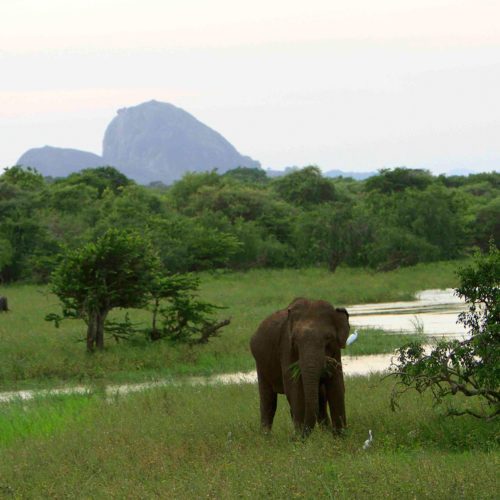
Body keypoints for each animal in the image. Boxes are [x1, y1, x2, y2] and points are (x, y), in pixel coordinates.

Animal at [252, 298, 350, 436]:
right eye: (295, 340)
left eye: (328, 338)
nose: (294, 437)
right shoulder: (286, 347)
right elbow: (294, 388)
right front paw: (298, 438)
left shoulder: (336, 351)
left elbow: (337, 387)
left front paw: (340, 436)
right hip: (261, 364)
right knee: (268, 401)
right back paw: (266, 437)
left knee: (320, 399)